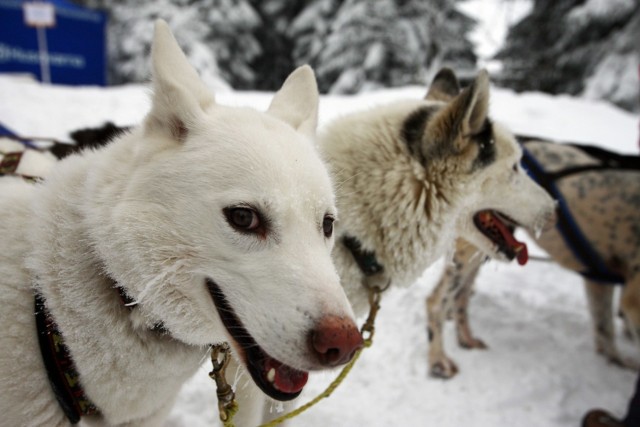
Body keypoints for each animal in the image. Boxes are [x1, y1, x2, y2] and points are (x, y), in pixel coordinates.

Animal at [424, 140, 640, 378]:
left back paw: (466, 338)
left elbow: (605, 328)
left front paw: (615, 361)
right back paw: (438, 360)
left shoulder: (599, 280)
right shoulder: (632, 300)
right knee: (437, 301)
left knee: (460, 296)